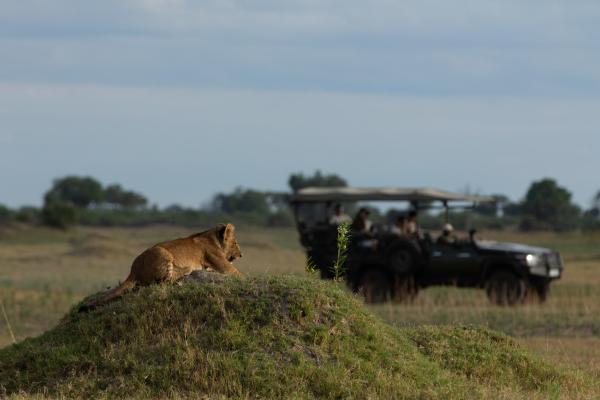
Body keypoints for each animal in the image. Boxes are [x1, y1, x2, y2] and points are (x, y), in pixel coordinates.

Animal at [78, 222, 243, 312]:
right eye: (235, 243)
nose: (241, 255)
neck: (213, 237)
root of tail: (133, 270)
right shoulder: (221, 264)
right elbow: (237, 273)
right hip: (162, 252)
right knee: (164, 280)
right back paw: (186, 269)